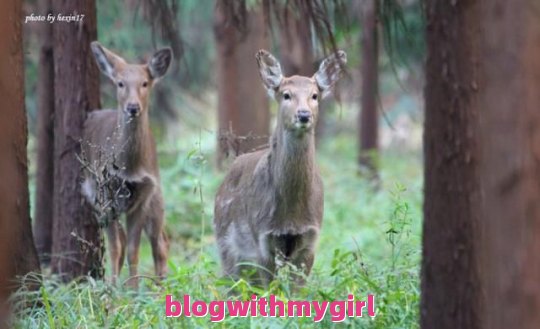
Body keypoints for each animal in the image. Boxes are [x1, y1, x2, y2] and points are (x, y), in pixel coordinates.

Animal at [81, 41, 173, 288]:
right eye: (120, 83)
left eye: (145, 83)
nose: (133, 107)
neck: (128, 168)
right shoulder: (105, 195)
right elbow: (116, 248)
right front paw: (112, 289)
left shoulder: (144, 194)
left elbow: (133, 249)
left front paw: (133, 289)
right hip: (95, 198)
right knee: (126, 241)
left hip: (157, 196)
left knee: (160, 242)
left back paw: (161, 287)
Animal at [214, 48, 346, 284]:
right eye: (286, 95)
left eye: (314, 95)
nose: (303, 115)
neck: (291, 216)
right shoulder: (262, 238)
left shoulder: (309, 240)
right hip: (226, 245)